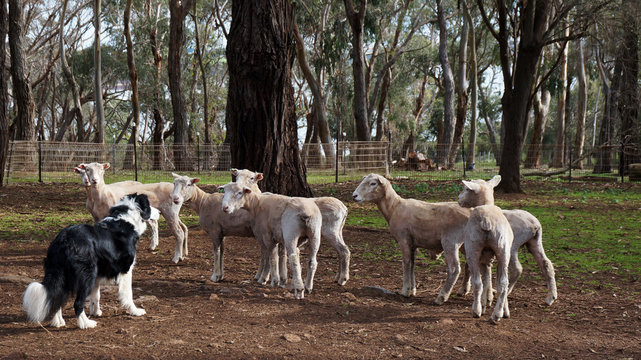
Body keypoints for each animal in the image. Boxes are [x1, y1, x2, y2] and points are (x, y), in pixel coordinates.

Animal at [23, 194, 159, 330]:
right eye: (149, 205)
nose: (158, 212)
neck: (126, 219)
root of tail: (63, 239)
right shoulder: (125, 270)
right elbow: (128, 294)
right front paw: (135, 311)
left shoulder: (98, 274)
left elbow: (96, 295)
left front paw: (96, 312)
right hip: (86, 275)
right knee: (77, 303)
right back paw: (86, 323)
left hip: (64, 274)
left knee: (58, 296)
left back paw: (58, 322)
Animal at [350, 173, 470, 302]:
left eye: (373, 183)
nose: (354, 196)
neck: (394, 207)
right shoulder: (413, 243)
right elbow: (412, 264)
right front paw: (412, 290)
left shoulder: (403, 239)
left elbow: (406, 263)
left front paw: (405, 290)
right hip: (466, 243)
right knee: (470, 264)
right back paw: (465, 291)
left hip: (451, 241)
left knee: (454, 269)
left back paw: (442, 297)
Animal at [456, 176, 556, 306]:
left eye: (467, 189)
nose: (458, 199)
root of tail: (534, 224)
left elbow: (469, 267)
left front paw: (466, 290)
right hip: (534, 242)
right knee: (546, 264)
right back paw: (551, 297)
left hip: (512, 246)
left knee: (517, 269)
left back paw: (505, 292)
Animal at [458, 175, 512, 324]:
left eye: (466, 189)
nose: (458, 199)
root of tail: (486, 220)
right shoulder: (488, 257)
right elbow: (488, 279)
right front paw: (488, 302)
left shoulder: (482, 257)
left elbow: (484, 280)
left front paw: (482, 305)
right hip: (503, 250)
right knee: (503, 283)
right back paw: (497, 315)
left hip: (473, 248)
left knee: (477, 282)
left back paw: (476, 311)